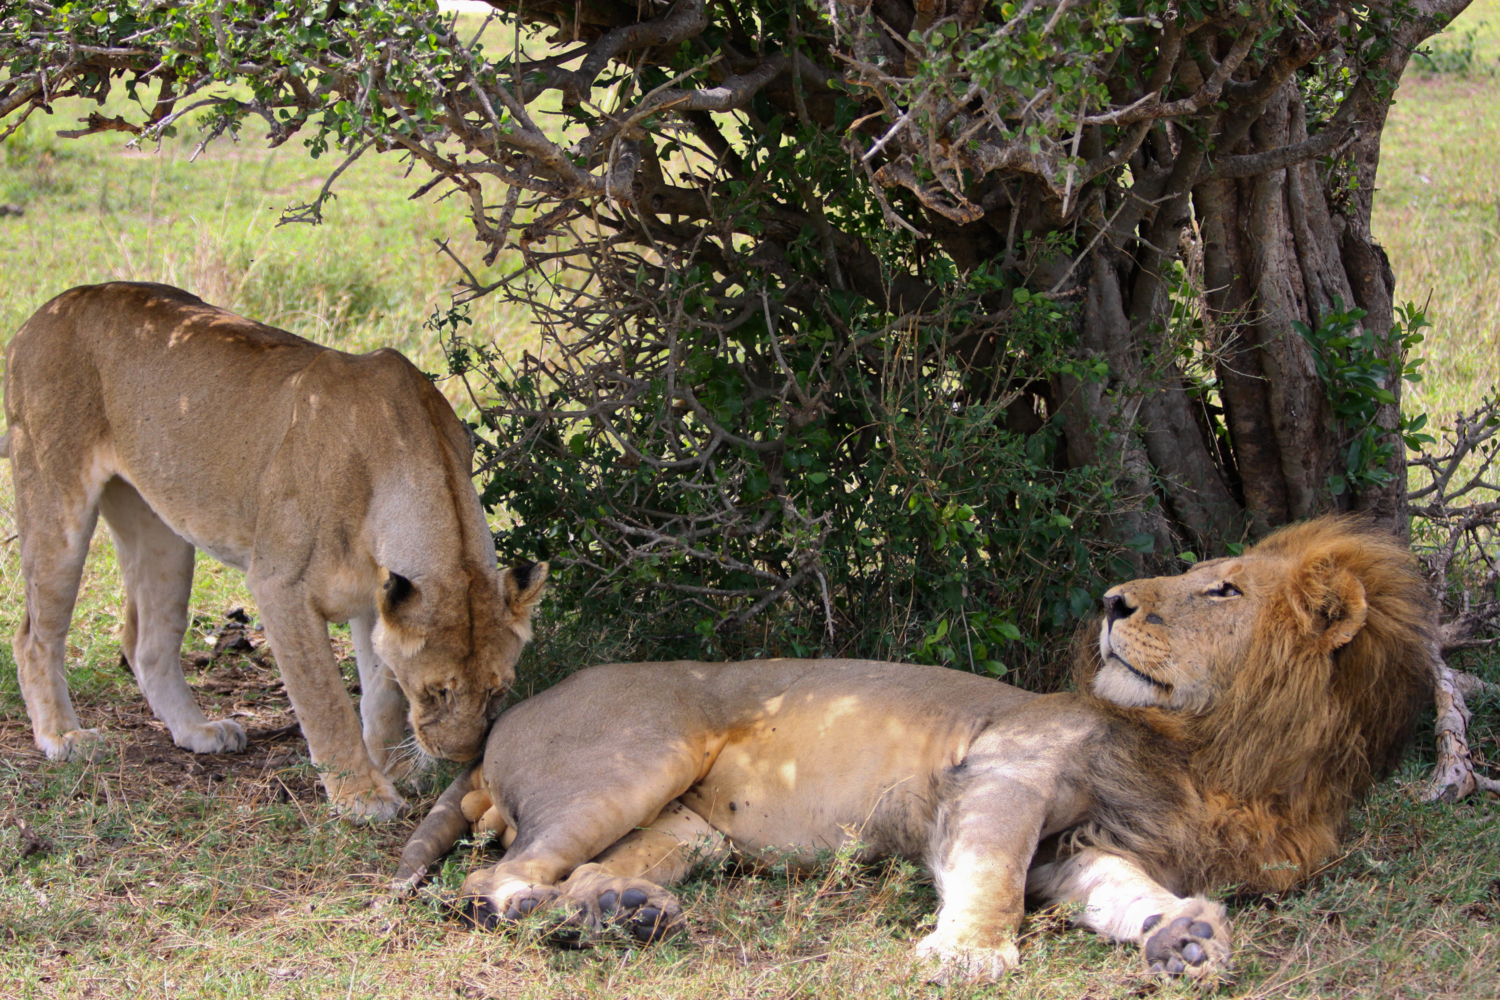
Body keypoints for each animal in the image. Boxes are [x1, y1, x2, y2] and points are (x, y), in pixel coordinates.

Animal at [0, 281, 549, 821]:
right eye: (437, 691)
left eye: (498, 690)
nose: (460, 757)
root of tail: (47, 310)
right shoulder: (279, 584)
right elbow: (324, 700)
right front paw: (361, 795)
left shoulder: (377, 599)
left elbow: (383, 695)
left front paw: (391, 767)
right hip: (54, 498)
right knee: (33, 636)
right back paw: (64, 736)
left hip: (161, 533)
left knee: (146, 642)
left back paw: (198, 732)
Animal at [396, 521, 1428, 983]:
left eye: (1223, 591)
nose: (1110, 602)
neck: (1224, 759)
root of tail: (499, 725)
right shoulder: (1005, 767)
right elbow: (991, 870)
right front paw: (967, 952)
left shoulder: (1085, 852)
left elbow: (1120, 892)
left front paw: (1182, 937)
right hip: (640, 757)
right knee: (490, 886)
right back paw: (583, 924)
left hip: (684, 833)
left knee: (568, 876)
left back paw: (621, 913)